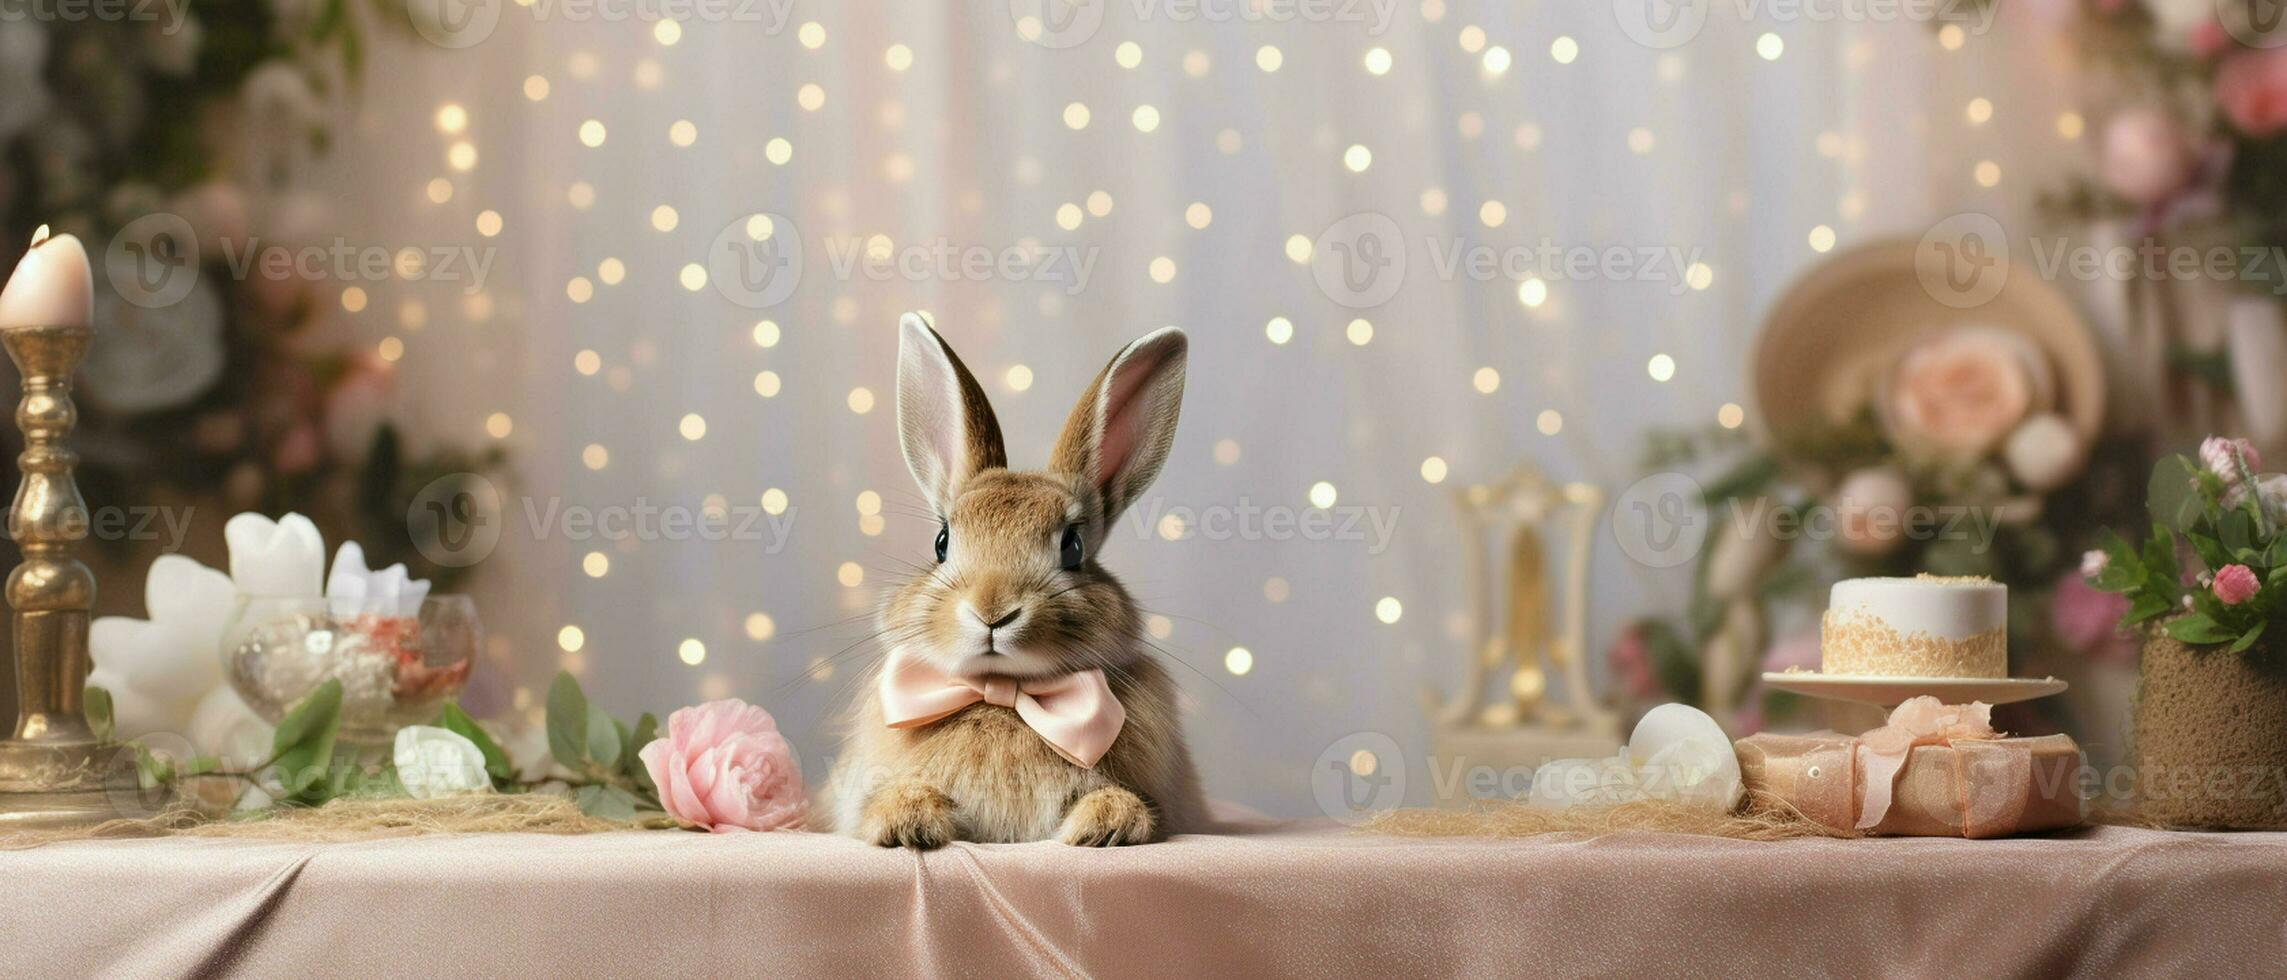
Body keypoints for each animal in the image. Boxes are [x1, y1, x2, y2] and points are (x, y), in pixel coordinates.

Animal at [827, 312, 1216, 849]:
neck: (1002, 693)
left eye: (1073, 547)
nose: (992, 610)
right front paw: (907, 822)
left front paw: (1106, 824)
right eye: (942, 542)